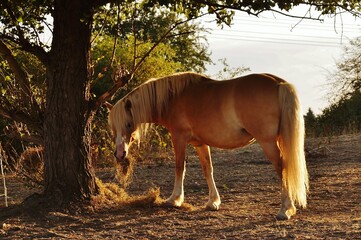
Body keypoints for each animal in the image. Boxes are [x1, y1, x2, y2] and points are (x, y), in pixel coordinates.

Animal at [108, 72, 308, 220]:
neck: (173, 97)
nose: (120, 154)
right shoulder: (200, 143)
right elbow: (207, 169)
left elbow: (179, 168)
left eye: (128, 124)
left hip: (267, 142)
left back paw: (285, 209)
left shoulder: (179, 138)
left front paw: (174, 199)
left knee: (282, 167)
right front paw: (213, 202)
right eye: (113, 127)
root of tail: (279, 83)